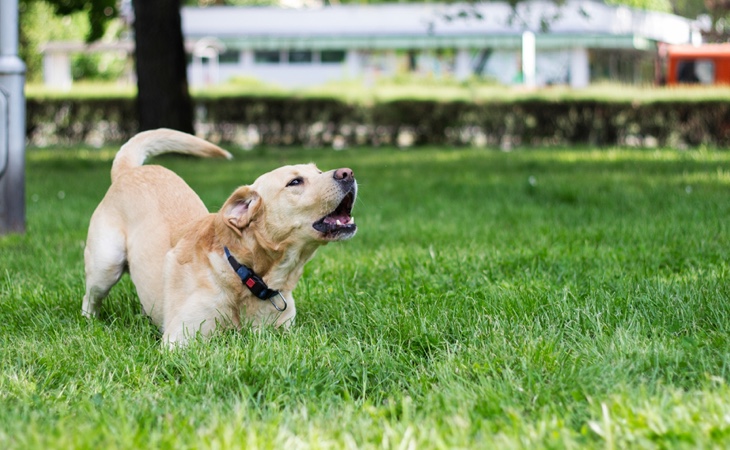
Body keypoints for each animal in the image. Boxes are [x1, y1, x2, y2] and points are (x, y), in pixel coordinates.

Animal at [82, 128, 356, 346]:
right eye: (295, 182)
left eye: (318, 171)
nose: (348, 173)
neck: (244, 272)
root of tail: (128, 172)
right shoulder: (180, 340)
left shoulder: (284, 333)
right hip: (106, 265)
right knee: (90, 299)